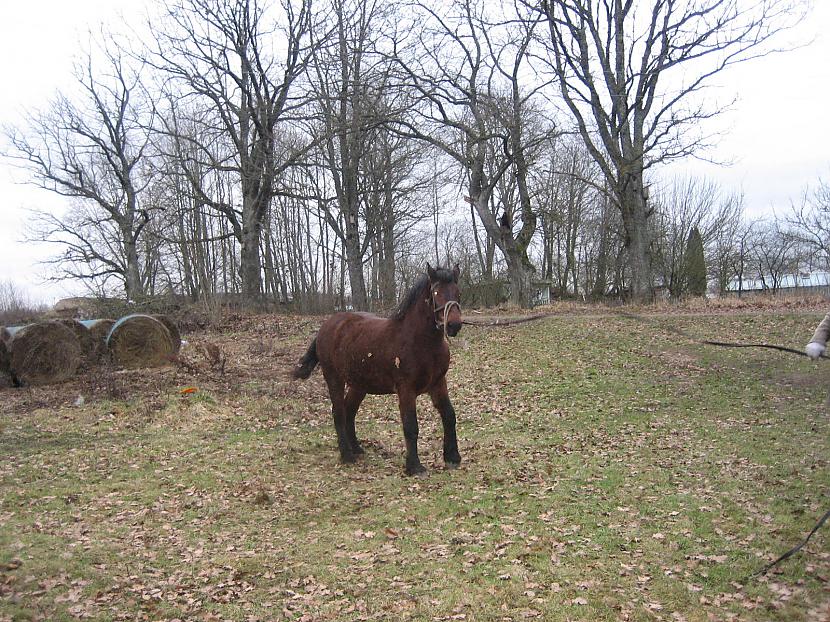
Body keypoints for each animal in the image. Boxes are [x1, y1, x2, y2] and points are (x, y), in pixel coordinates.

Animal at [292, 264, 464, 478]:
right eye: (435, 293)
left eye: (458, 293)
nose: (454, 325)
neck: (421, 342)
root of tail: (326, 327)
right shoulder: (406, 389)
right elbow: (410, 426)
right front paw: (414, 466)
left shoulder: (438, 383)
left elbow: (449, 415)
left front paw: (452, 457)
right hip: (334, 378)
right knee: (338, 412)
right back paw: (346, 455)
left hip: (359, 384)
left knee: (349, 411)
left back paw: (356, 448)